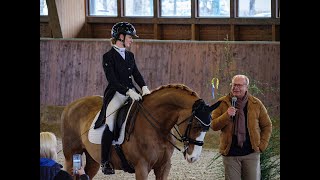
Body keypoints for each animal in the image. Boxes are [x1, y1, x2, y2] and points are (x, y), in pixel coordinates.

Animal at [60, 84, 220, 180]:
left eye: (208, 128)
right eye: (196, 125)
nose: (193, 157)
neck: (158, 128)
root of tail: (71, 105)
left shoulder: (164, 167)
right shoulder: (141, 167)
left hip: (93, 160)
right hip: (71, 156)